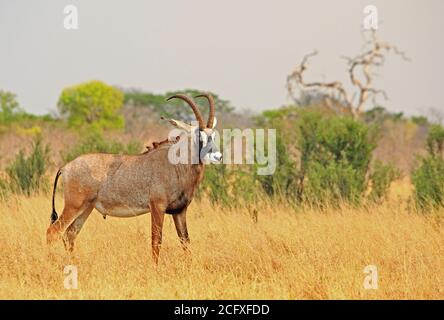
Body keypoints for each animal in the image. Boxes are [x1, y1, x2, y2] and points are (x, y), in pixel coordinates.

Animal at [46, 93, 222, 262]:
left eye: (213, 136)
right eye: (199, 136)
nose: (218, 156)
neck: (176, 165)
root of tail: (65, 167)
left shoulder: (180, 211)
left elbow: (185, 241)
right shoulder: (157, 207)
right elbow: (156, 241)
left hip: (86, 208)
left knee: (69, 234)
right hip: (74, 206)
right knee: (53, 231)